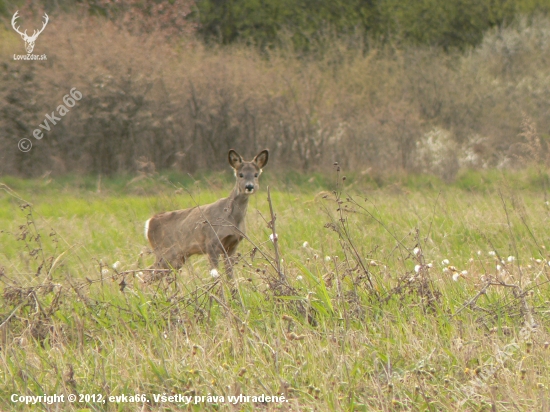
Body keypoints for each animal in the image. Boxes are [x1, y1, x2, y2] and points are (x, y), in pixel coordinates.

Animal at [144, 150, 270, 278]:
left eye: (256, 174)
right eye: (240, 174)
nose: (249, 186)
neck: (231, 220)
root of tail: (149, 222)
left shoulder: (232, 245)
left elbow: (230, 275)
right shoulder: (211, 242)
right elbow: (215, 273)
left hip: (177, 257)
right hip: (165, 252)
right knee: (147, 272)